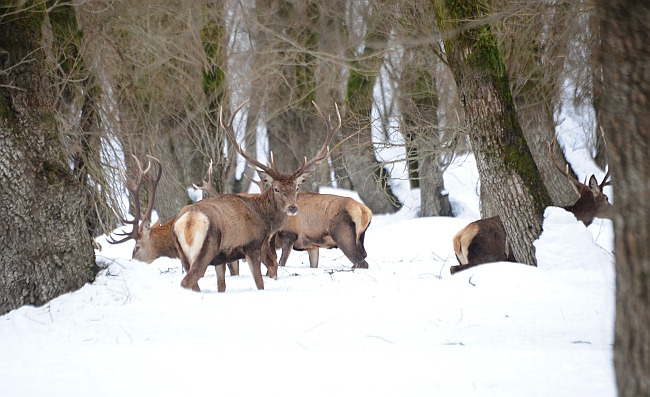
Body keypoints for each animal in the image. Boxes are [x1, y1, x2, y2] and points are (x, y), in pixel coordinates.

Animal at [170, 100, 342, 290]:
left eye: (296, 188)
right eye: (276, 188)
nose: (292, 208)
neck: (264, 219)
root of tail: (188, 221)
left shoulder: (222, 258)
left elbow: (222, 285)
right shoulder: (252, 245)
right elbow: (260, 281)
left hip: (184, 255)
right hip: (206, 248)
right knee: (188, 280)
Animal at [448, 140, 612, 276]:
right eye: (606, 198)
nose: (612, 210)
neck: (572, 213)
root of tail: (459, 238)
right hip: (486, 256)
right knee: (453, 268)